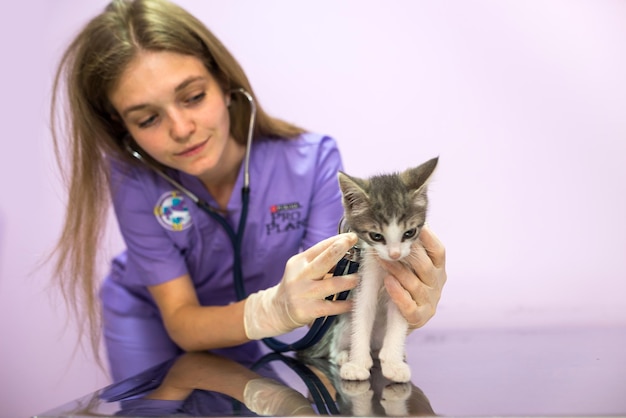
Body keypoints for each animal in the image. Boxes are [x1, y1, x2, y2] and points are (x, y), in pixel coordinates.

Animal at [298, 156, 436, 382]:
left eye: (409, 232)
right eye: (376, 236)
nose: (395, 254)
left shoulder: (403, 287)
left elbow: (398, 320)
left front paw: (393, 364)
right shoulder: (365, 273)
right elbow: (362, 313)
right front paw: (357, 364)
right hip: (342, 325)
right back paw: (343, 355)